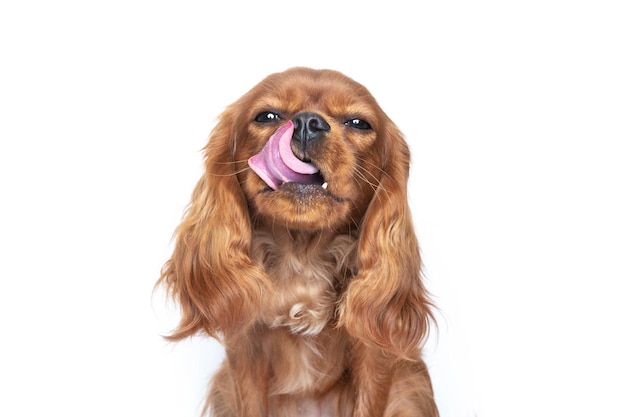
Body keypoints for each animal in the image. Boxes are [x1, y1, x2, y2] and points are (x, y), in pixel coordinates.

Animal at [158, 68, 436, 416]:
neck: (302, 257)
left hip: (410, 387)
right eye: (267, 116)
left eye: (358, 123)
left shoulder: (374, 357)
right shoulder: (245, 353)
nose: (307, 122)